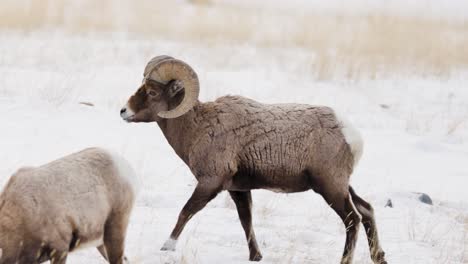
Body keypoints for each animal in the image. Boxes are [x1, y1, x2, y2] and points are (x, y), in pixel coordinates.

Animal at [120, 55, 388, 264]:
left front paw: (167, 246)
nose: (124, 111)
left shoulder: (210, 182)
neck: (198, 126)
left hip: (330, 186)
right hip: (342, 185)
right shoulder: (238, 189)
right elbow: (246, 221)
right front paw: (255, 256)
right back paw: (379, 257)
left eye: (152, 92)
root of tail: (351, 134)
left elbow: (186, 211)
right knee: (366, 210)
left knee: (352, 219)